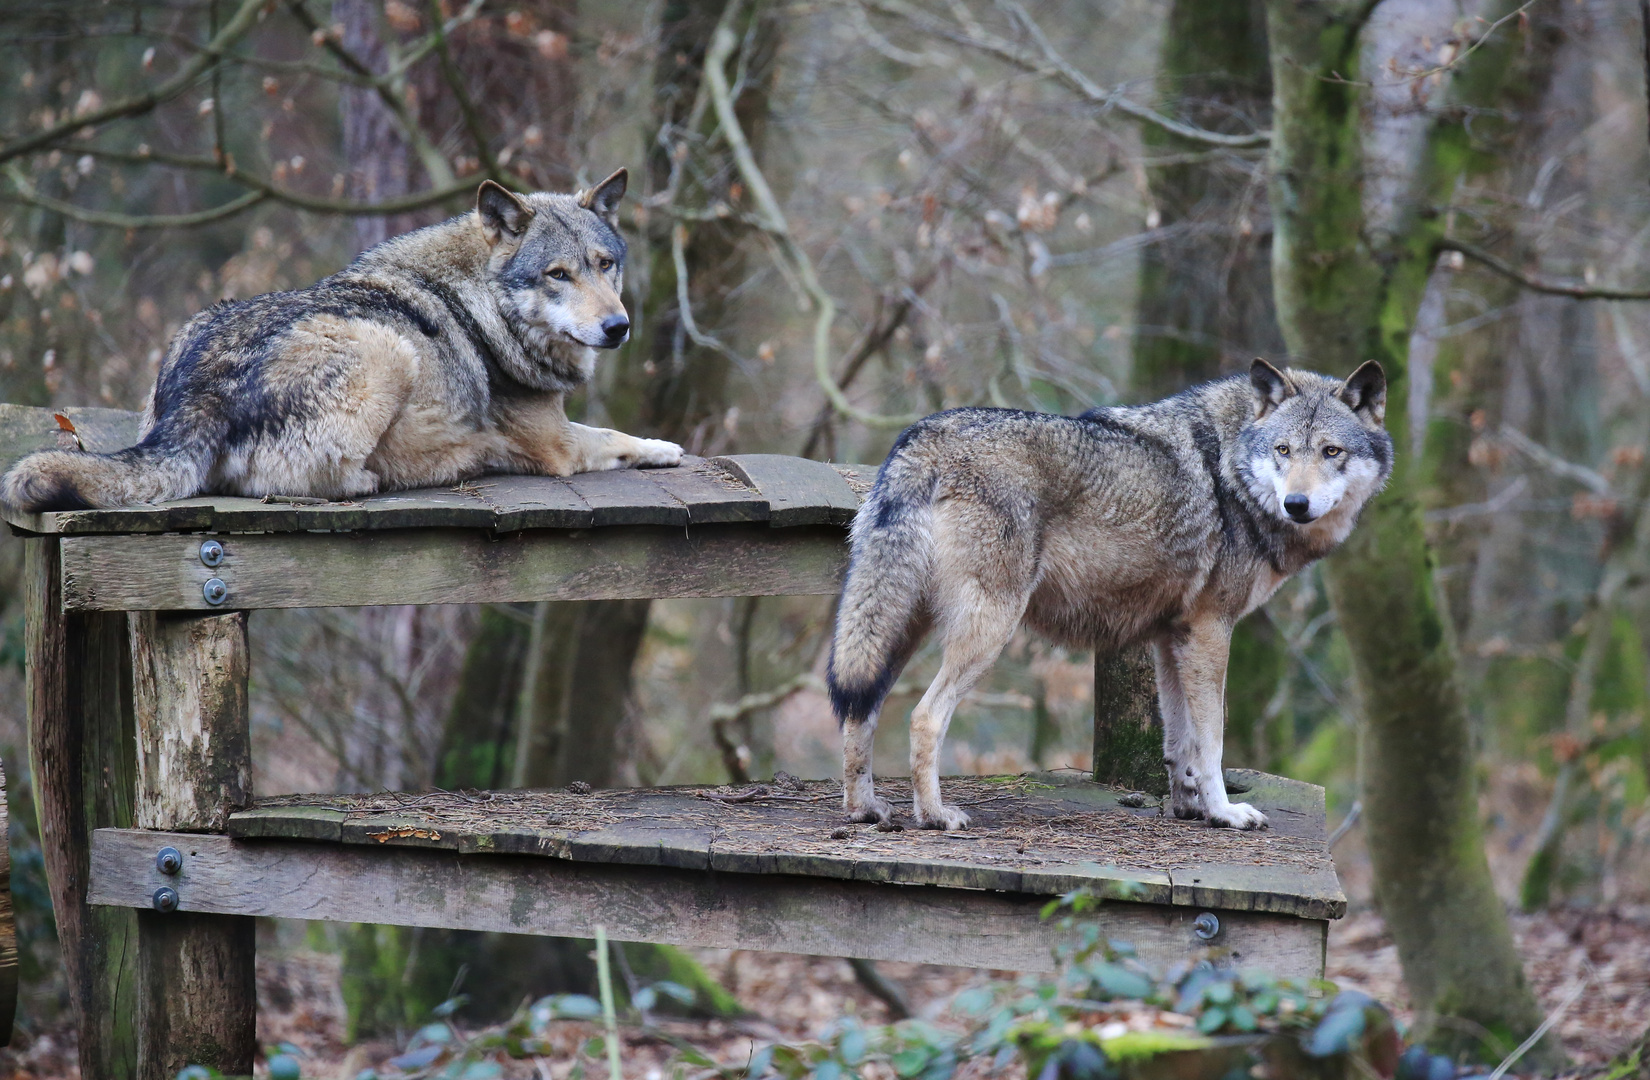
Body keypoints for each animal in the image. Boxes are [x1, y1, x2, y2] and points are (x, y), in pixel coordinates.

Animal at [0, 169, 679, 514]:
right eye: (558, 275)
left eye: (605, 265)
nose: (618, 327)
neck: (483, 304)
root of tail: (198, 396)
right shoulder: (558, 444)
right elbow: (616, 437)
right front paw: (666, 447)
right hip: (387, 350)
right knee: (299, 481)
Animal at [825, 359, 1392, 831]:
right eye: (1283, 450)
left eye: (1332, 451)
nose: (1297, 503)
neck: (1232, 469)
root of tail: (921, 438)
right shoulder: (1211, 630)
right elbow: (1211, 739)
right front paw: (1226, 812)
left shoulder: (1172, 637)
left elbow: (1179, 741)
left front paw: (1189, 807)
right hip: (987, 632)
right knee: (924, 716)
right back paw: (936, 816)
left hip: (897, 630)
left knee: (860, 710)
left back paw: (865, 810)